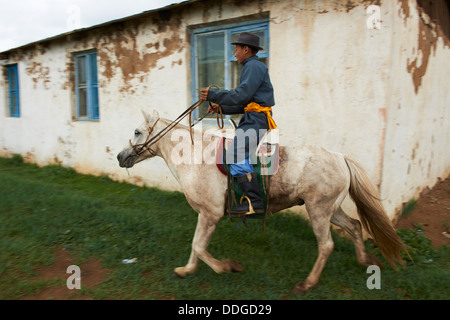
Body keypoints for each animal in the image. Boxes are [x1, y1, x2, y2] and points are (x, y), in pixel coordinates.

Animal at [117, 110, 408, 296]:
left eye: (137, 131)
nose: (120, 157)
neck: (195, 157)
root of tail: (339, 157)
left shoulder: (211, 213)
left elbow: (199, 246)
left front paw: (227, 267)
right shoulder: (204, 214)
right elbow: (195, 245)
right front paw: (186, 270)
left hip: (318, 210)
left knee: (326, 245)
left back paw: (307, 284)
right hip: (331, 210)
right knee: (356, 226)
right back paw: (365, 260)